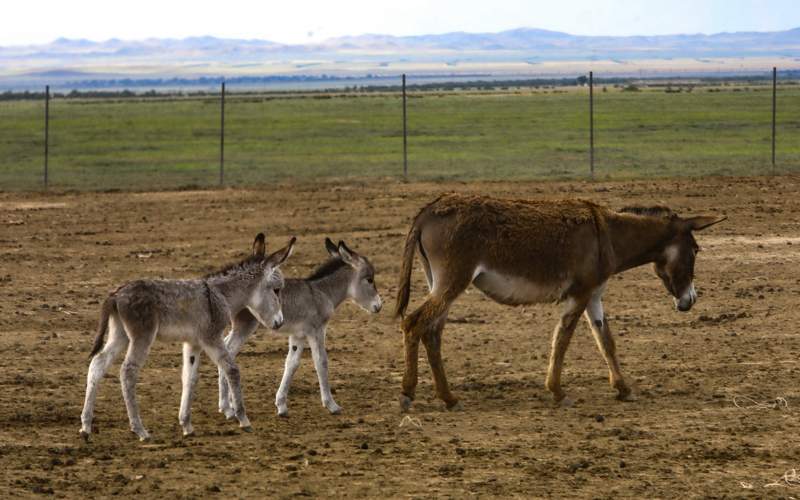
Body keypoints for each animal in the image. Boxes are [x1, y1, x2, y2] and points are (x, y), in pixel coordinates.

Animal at [80, 234, 296, 442]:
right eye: (277, 289)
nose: (280, 322)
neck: (221, 295)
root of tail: (116, 293)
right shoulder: (211, 338)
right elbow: (232, 370)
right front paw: (243, 419)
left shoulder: (193, 344)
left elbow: (189, 378)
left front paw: (186, 425)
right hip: (142, 336)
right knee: (128, 372)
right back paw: (140, 430)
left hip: (120, 334)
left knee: (98, 363)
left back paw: (86, 427)